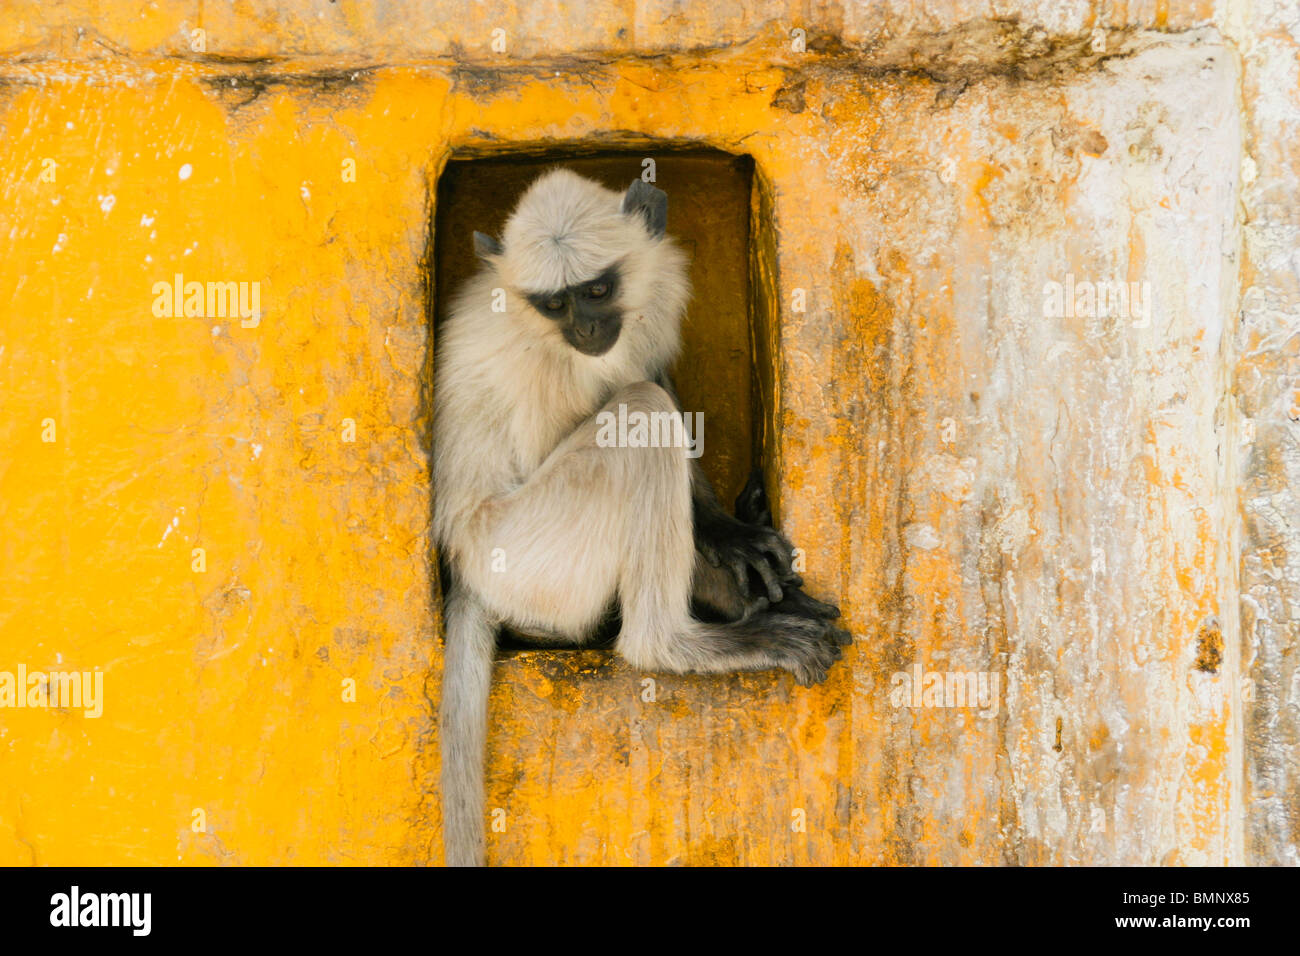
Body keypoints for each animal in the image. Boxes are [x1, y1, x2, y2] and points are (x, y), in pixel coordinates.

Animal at [431, 170, 847, 868]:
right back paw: (677, 642)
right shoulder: (547, 362)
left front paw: (727, 537)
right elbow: (639, 403)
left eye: (596, 290)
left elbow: (658, 376)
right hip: (524, 549)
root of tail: (464, 562)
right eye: (554, 304)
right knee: (640, 413)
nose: (586, 331)